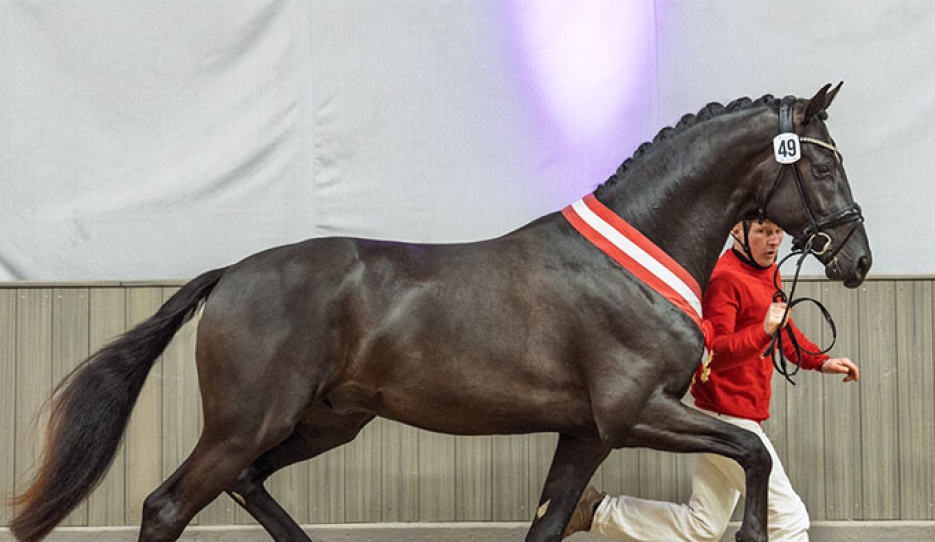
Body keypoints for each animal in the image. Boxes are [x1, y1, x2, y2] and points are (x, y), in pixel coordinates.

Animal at [10, 83, 871, 542]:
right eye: (823, 164)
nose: (856, 259)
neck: (631, 264)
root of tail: (231, 277)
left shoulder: (587, 432)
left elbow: (549, 522)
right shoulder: (635, 411)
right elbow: (751, 451)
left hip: (325, 420)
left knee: (246, 485)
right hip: (247, 421)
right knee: (168, 505)